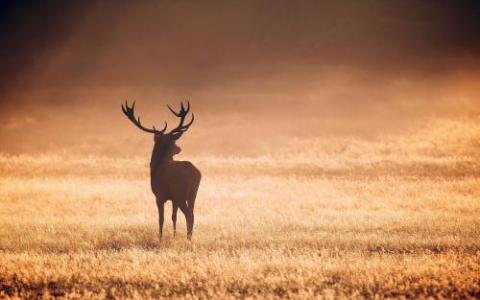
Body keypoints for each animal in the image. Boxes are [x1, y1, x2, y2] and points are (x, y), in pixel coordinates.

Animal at [123, 102, 202, 240]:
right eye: (172, 141)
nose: (179, 148)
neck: (156, 167)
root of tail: (195, 173)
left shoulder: (159, 196)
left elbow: (161, 219)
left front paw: (160, 239)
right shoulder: (173, 199)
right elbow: (174, 217)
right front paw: (174, 236)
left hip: (180, 193)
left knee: (188, 214)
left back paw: (188, 238)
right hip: (193, 193)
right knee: (192, 213)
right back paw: (190, 237)